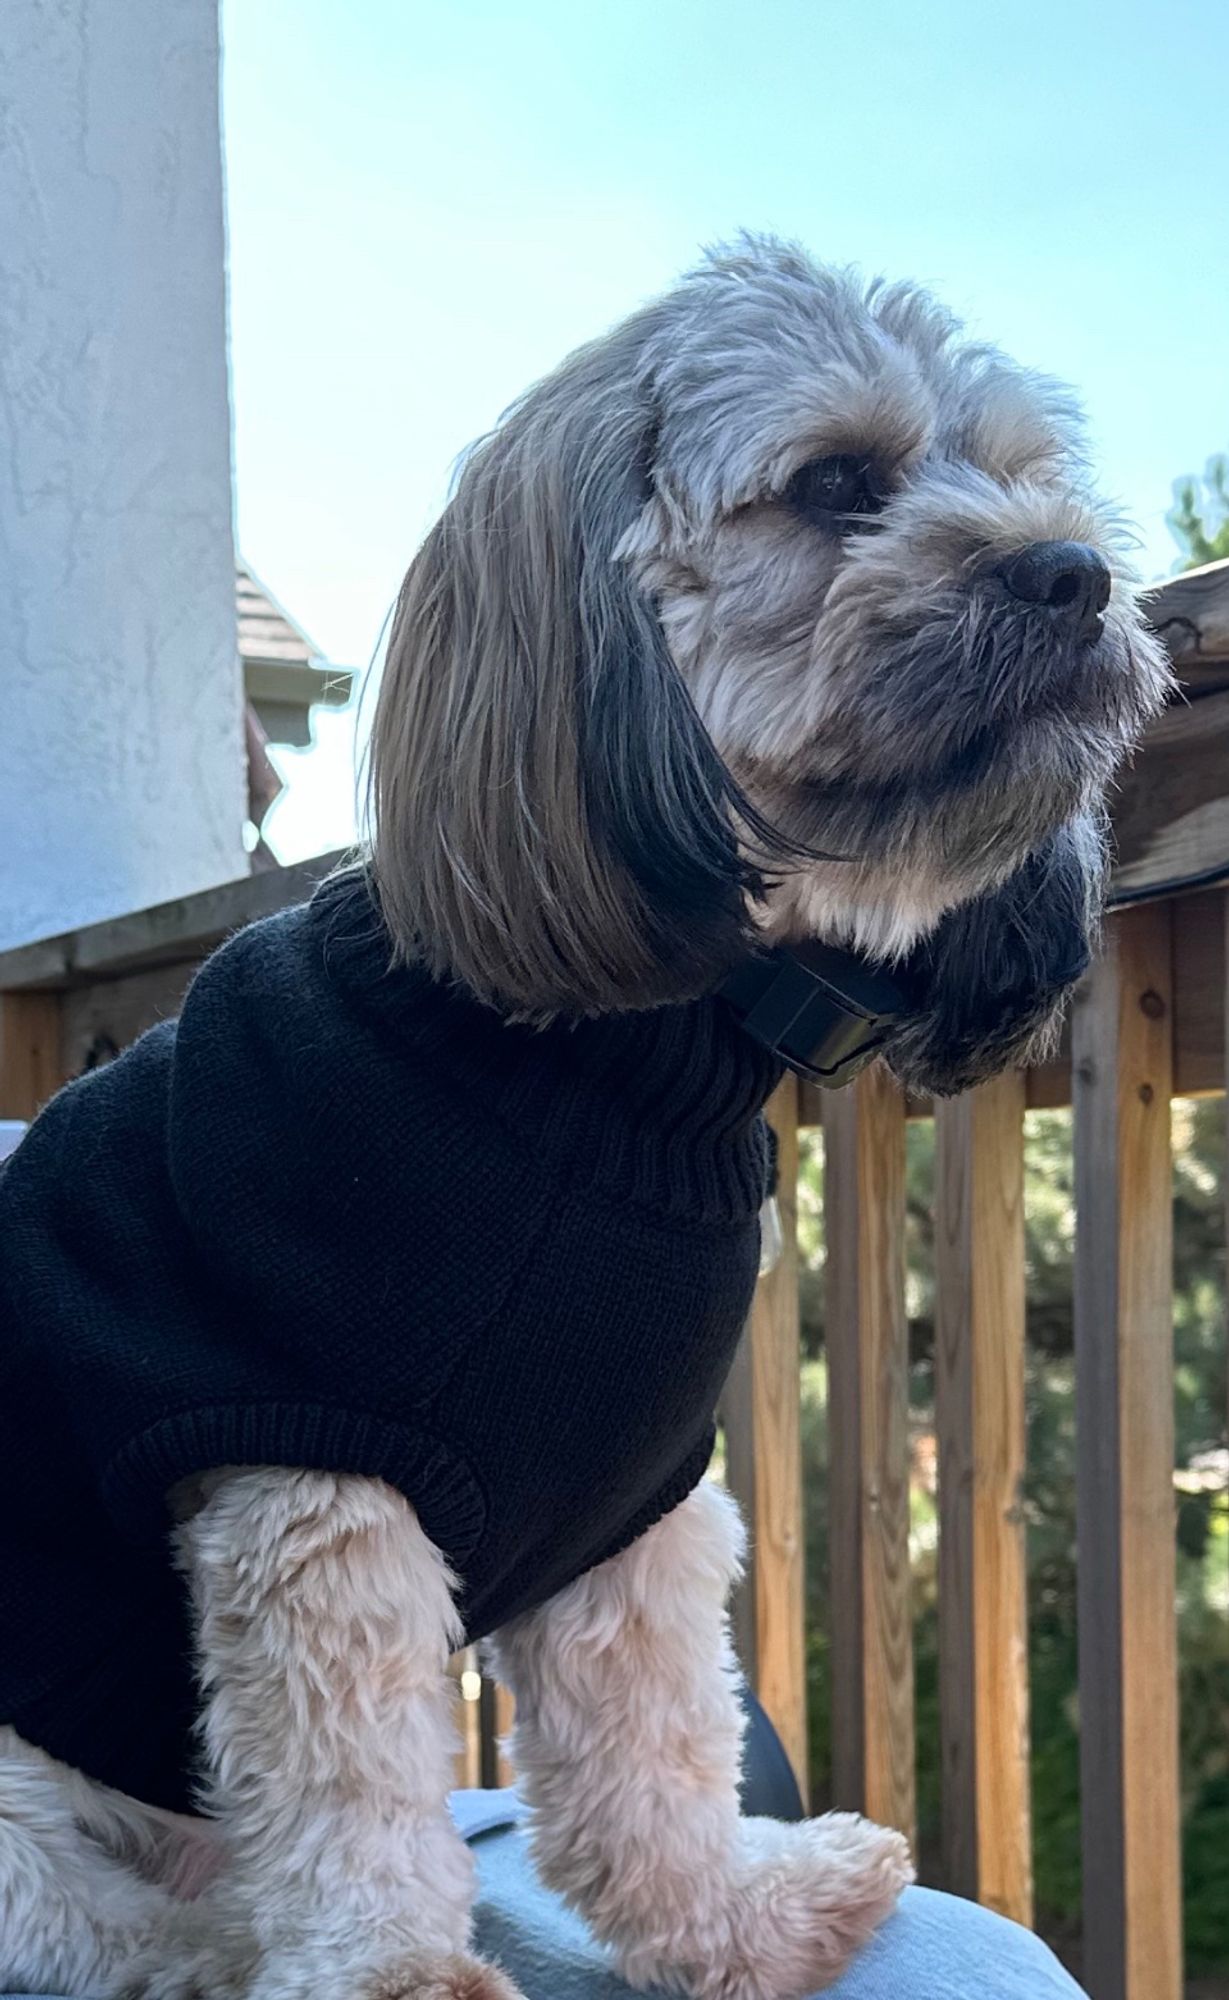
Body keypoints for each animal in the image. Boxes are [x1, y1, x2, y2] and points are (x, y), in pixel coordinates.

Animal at [0, 238, 1168, 2000]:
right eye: (835, 485)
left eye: (1030, 476)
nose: (1078, 576)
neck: (617, 1063)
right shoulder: (311, 1481)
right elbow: (349, 1786)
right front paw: (396, 1975)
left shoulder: (637, 1494)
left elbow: (654, 1753)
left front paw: (741, 1921)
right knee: (105, 1925)